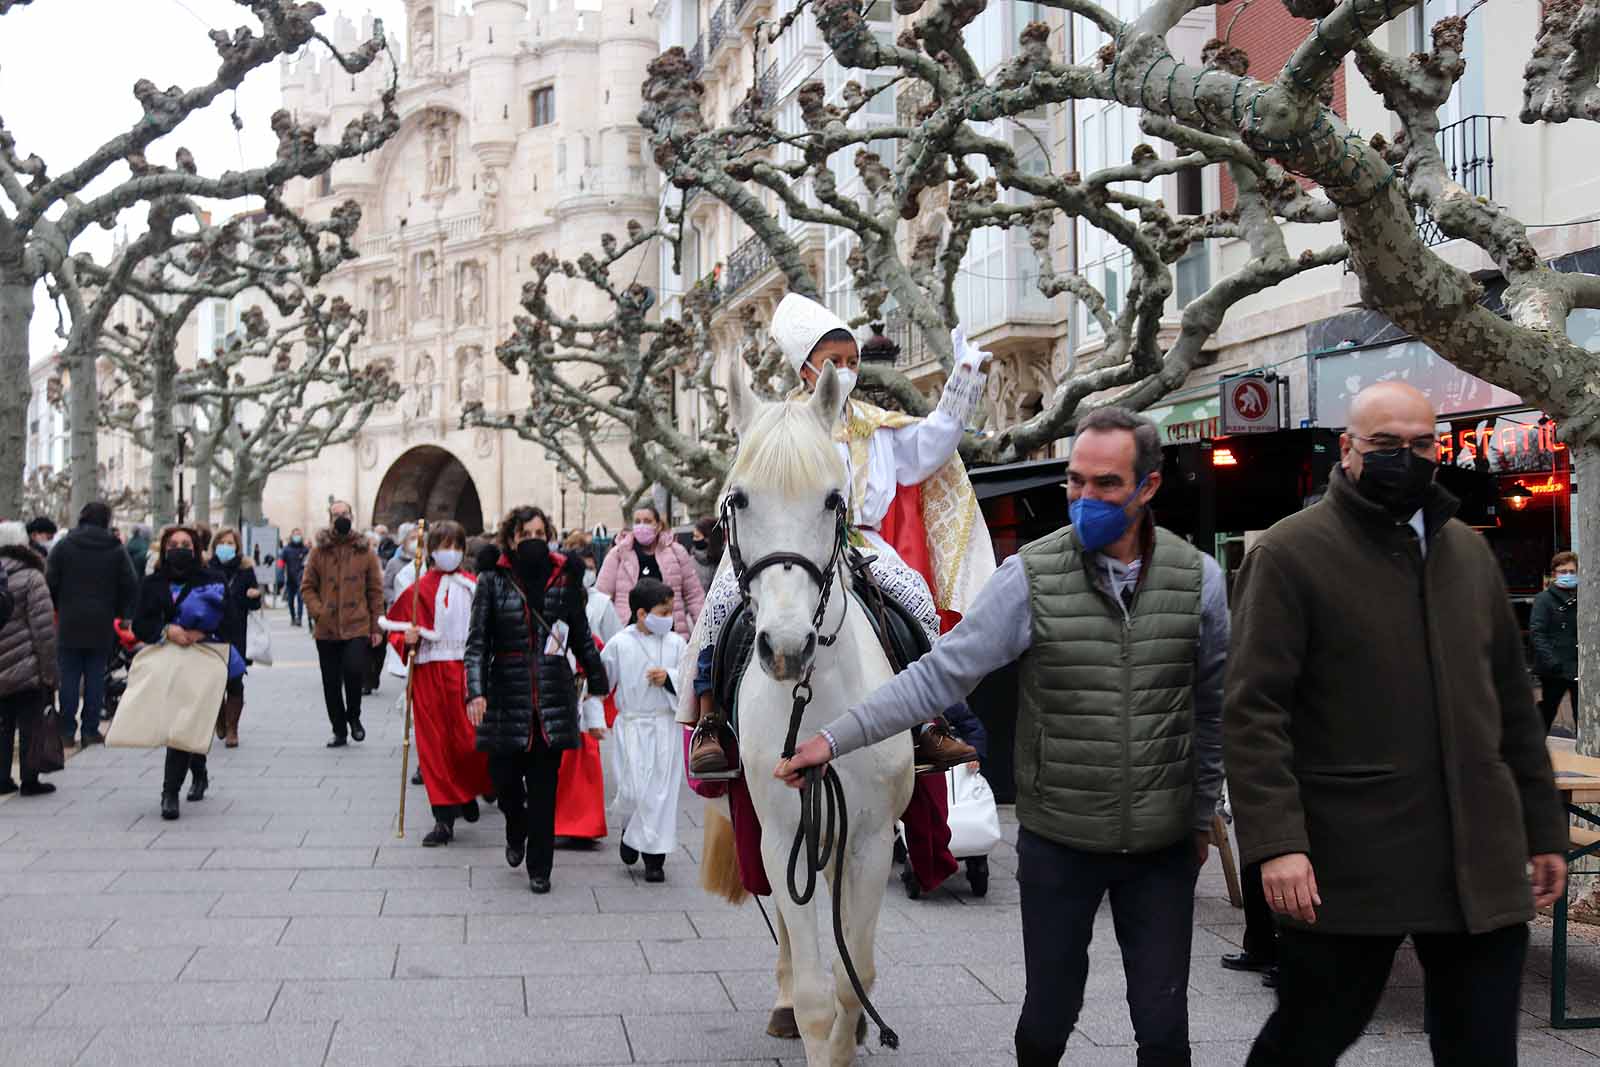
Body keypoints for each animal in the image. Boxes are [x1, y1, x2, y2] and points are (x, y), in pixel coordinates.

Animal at [700, 363, 915, 1062]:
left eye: (832, 500)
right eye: (738, 499)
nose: (788, 648)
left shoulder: (870, 839)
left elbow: (854, 981)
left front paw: (854, 1033)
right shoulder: (781, 829)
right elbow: (821, 999)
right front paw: (806, 1014)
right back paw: (783, 999)